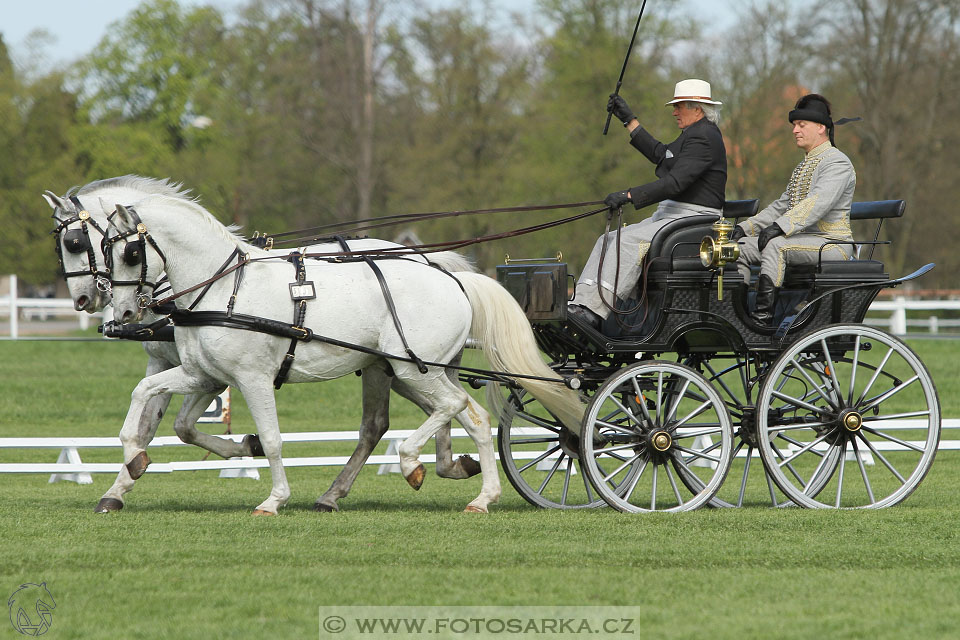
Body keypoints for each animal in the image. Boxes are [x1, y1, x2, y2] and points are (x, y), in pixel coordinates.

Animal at [103, 189, 584, 510]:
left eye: (130, 252)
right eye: (103, 251)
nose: (121, 312)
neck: (224, 289)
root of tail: (452, 278)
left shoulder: (252, 378)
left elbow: (273, 440)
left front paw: (274, 499)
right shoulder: (201, 374)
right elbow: (145, 399)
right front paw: (133, 460)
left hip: (414, 369)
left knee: (450, 408)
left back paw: (411, 464)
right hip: (419, 370)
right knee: (473, 417)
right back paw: (481, 496)